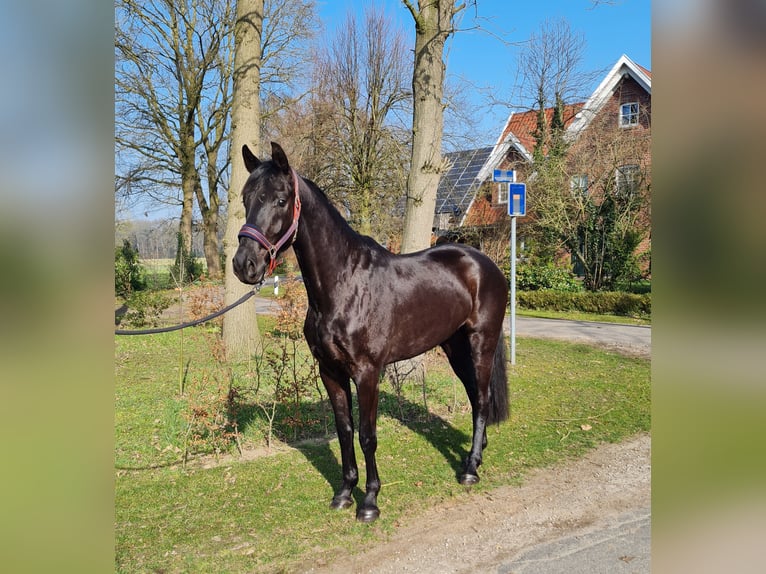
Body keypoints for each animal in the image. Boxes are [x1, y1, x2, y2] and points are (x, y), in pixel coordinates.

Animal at [233, 142, 509, 523]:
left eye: (280, 199)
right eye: (246, 198)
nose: (244, 265)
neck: (344, 284)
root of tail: (484, 263)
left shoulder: (367, 372)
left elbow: (367, 435)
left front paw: (370, 502)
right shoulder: (330, 372)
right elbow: (345, 430)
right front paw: (344, 493)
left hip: (481, 342)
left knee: (481, 399)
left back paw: (469, 469)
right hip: (454, 347)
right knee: (473, 396)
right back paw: (476, 454)